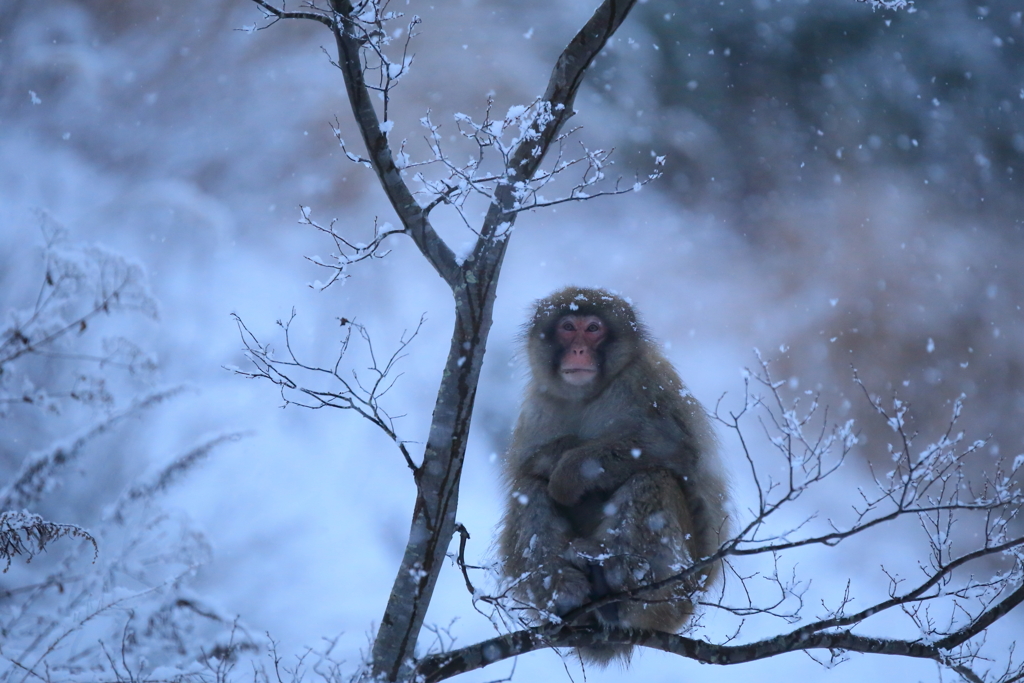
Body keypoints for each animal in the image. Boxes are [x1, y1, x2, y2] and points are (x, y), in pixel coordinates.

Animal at [497, 286, 729, 663]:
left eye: (593, 328)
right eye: (568, 327)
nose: (578, 350)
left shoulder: (644, 384)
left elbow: (668, 448)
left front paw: (567, 474)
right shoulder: (537, 406)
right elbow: (525, 468)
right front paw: (557, 456)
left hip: (674, 598)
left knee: (654, 478)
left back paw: (615, 581)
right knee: (529, 488)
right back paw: (565, 592)